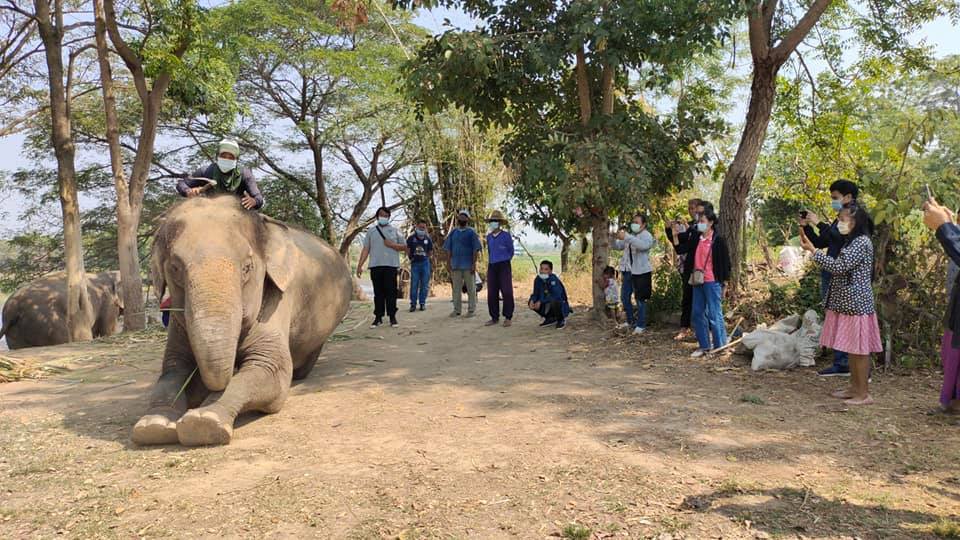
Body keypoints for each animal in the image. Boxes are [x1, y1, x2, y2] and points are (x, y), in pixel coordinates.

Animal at [134, 194, 352, 448]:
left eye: (248, 267)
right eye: (175, 268)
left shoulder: (278, 299)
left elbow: (269, 368)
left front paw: (204, 421)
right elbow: (173, 369)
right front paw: (153, 426)